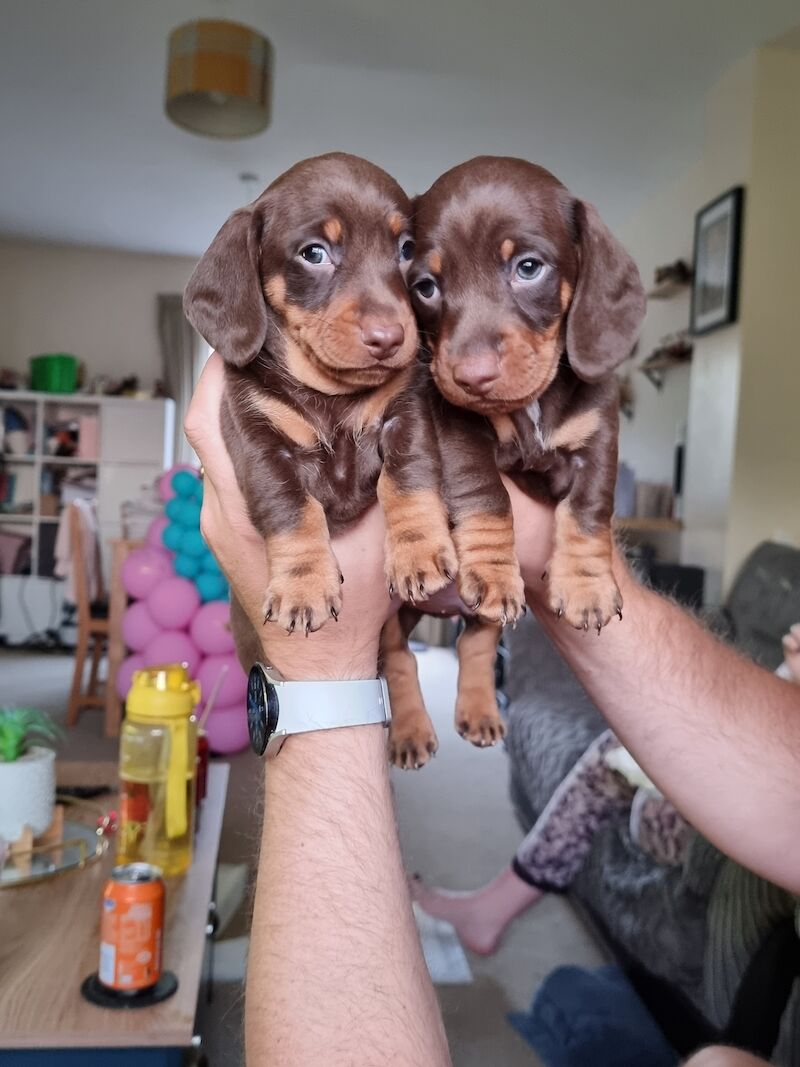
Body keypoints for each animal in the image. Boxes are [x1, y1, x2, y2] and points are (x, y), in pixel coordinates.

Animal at [183, 152, 456, 631]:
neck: (331, 391)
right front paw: (303, 584)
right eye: (314, 253)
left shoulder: (405, 413)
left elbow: (409, 476)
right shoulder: (260, 442)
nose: (389, 338)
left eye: (406, 249)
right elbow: (291, 509)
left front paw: (418, 549)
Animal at [381, 154, 644, 768]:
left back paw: (480, 709)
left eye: (528, 267)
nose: (471, 375)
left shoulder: (599, 433)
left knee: (477, 641)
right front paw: (495, 569)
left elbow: (590, 507)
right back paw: (410, 730)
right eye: (426, 286)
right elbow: (486, 494)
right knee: (399, 655)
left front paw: (587, 583)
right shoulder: (459, 430)